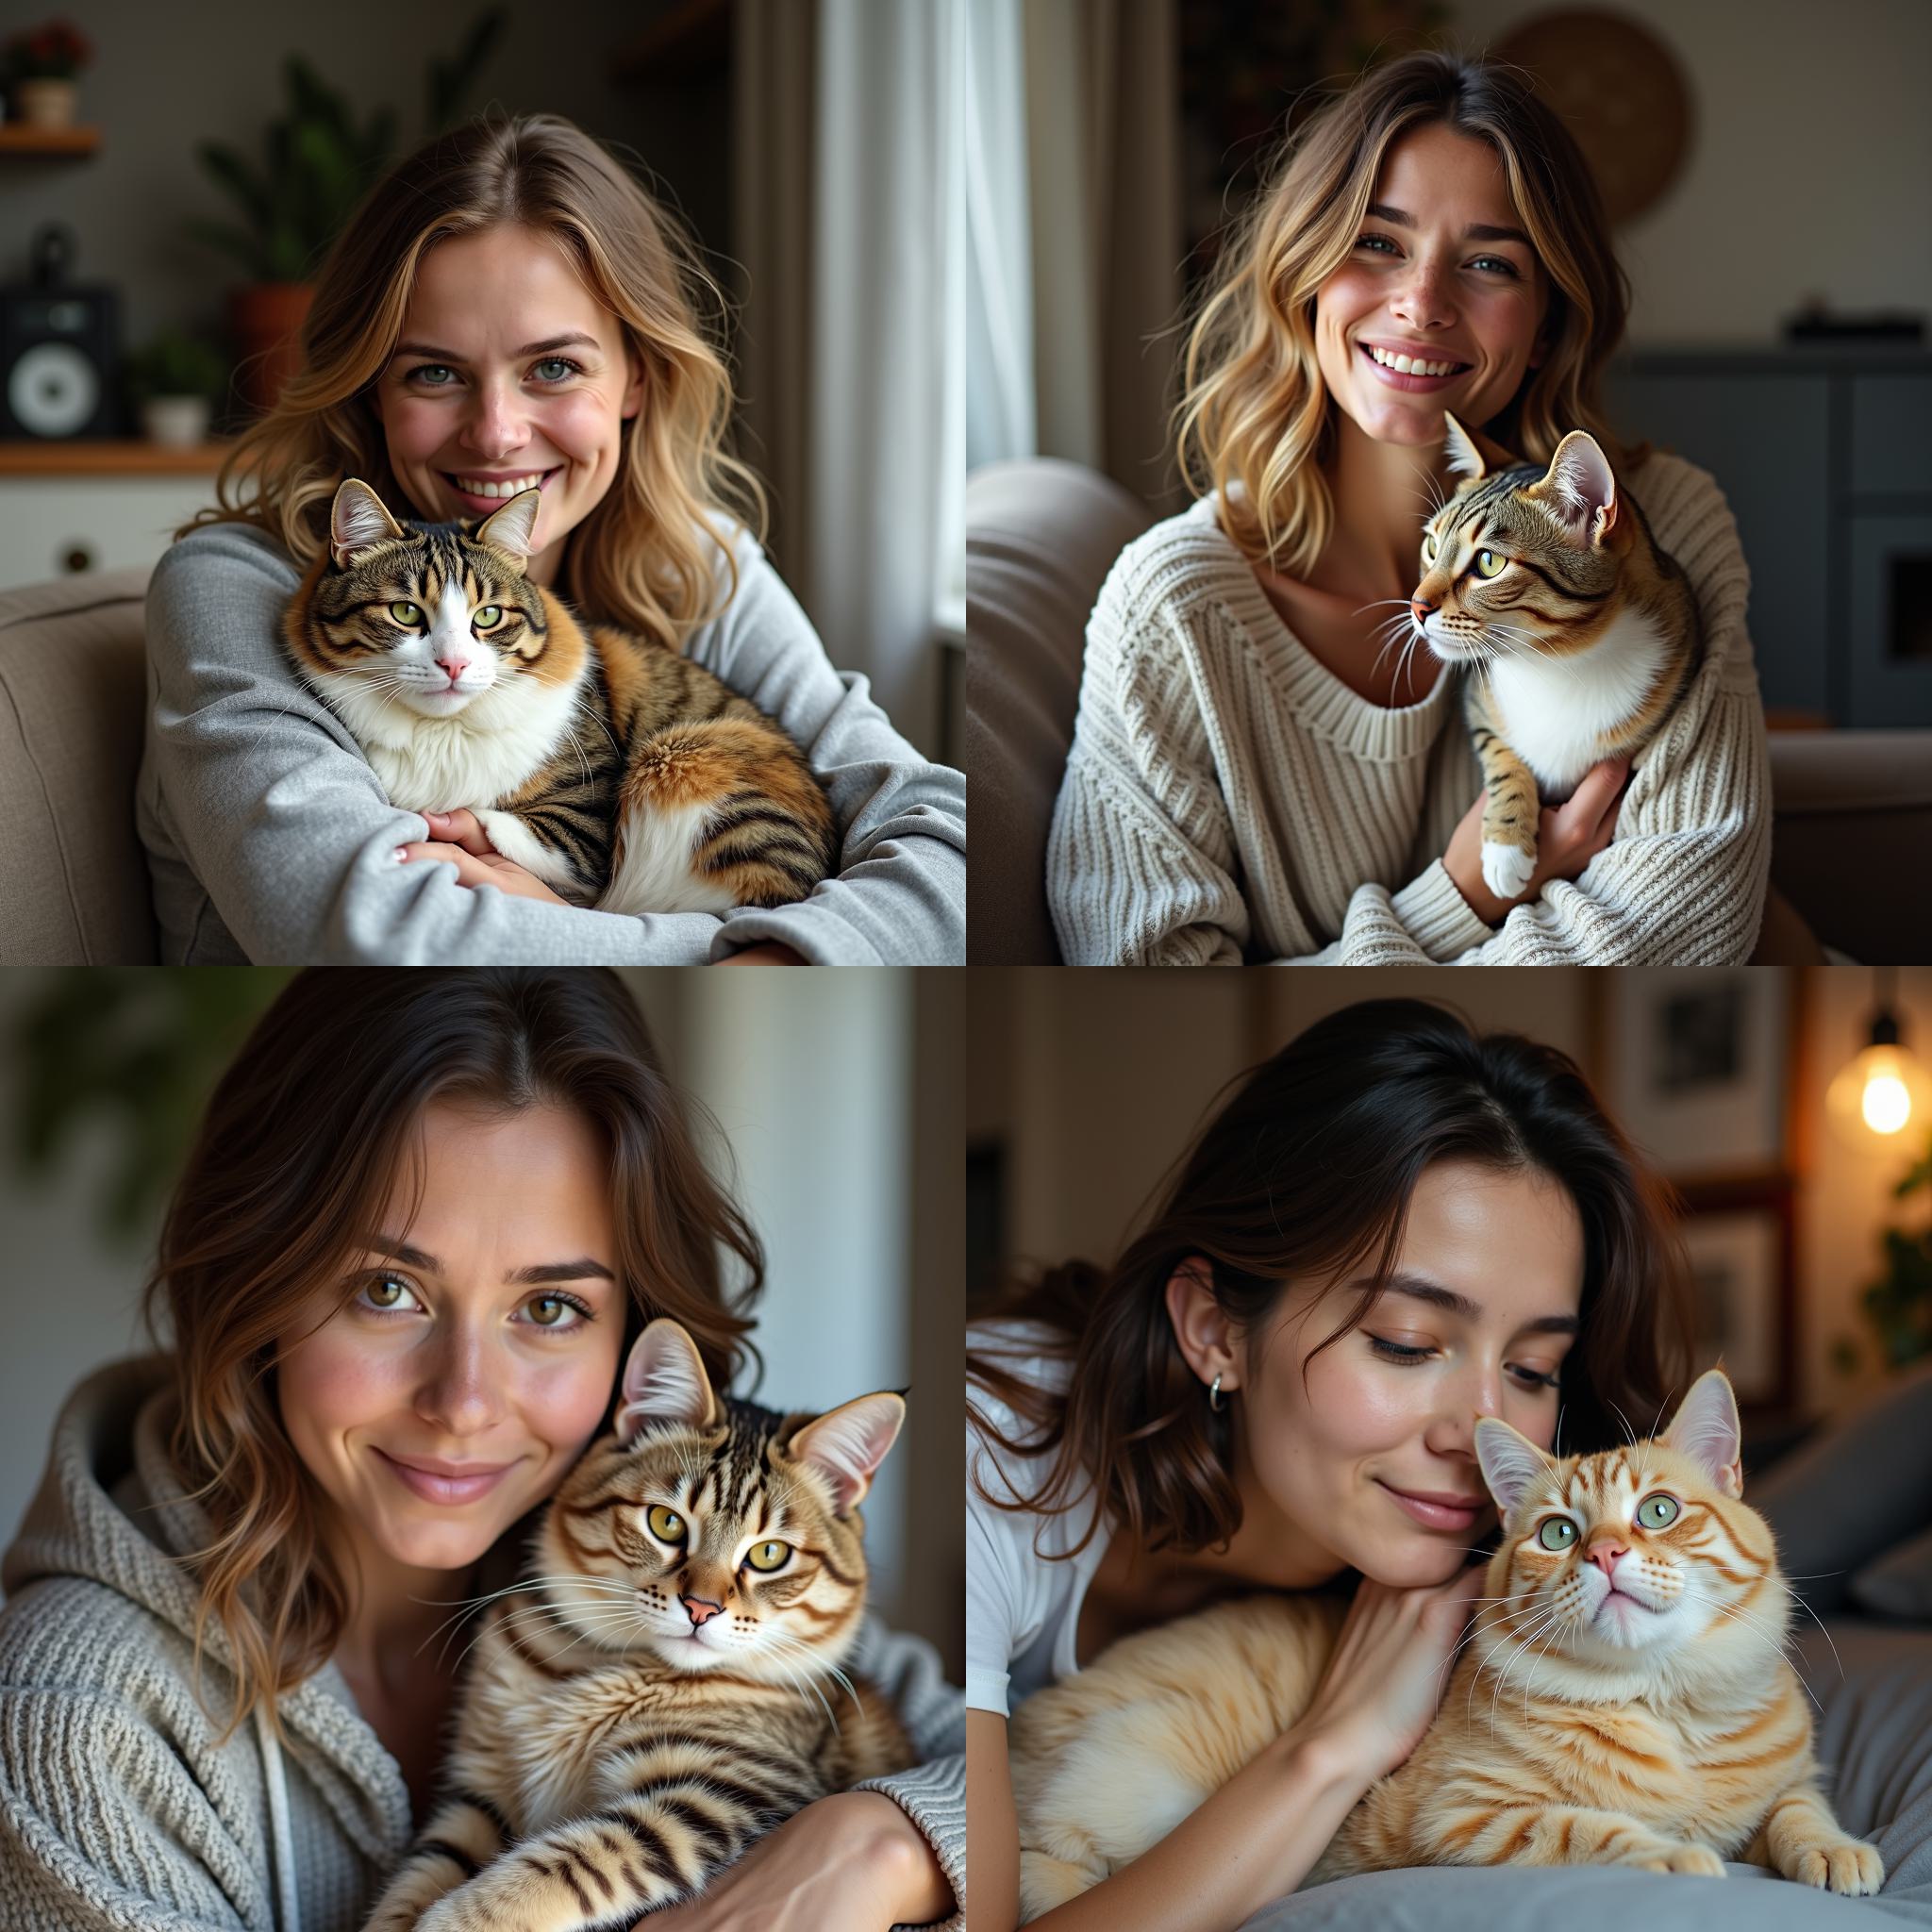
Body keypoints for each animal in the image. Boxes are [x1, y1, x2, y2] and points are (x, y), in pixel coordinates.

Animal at [282, 475, 834, 911]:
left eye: (488, 616)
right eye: (405, 612)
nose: (454, 663)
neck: (444, 732)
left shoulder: (586, 824)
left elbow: (499, 822)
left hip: (688, 757)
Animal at [365, 1313, 915, 1932]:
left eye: (770, 1554)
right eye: (665, 1523)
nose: (702, 1608)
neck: (604, 1669)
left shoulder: (714, 1796)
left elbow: (566, 1862)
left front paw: (462, 1919)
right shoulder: (479, 1793)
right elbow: (423, 1870)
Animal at [1004, 1367, 1877, 1924]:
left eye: (1658, 1512)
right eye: (1559, 1534)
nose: (1603, 1554)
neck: (1662, 1702)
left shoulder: (1786, 1786)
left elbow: (1800, 1812)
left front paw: (1839, 1853)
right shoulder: (1469, 1817)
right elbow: (1594, 1830)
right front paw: (1674, 1857)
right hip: (1132, 1782)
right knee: (1046, 1862)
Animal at [1406, 411, 1707, 900]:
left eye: (1488, 563)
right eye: (1432, 547)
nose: (1416, 606)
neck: (1554, 661)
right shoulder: (1479, 706)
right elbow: (1502, 756)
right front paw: (1507, 846)